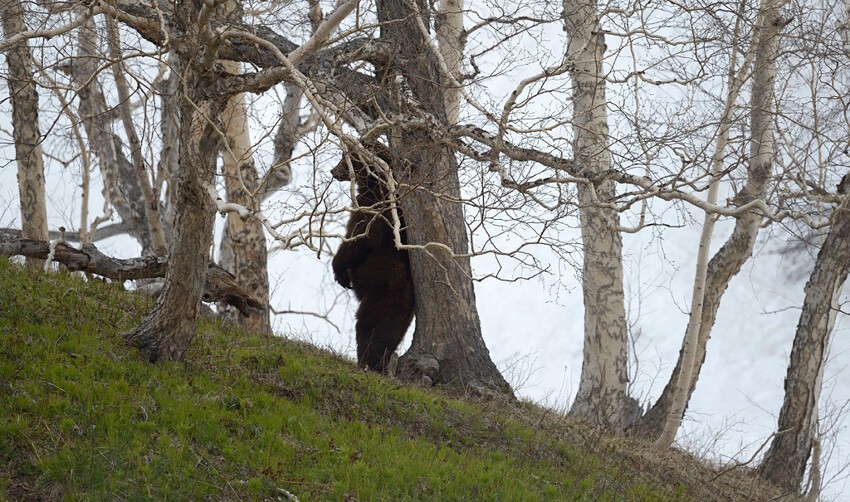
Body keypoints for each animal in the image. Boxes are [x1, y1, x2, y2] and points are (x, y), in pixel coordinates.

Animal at [328, 145, 414, 372]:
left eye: (345, 157)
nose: (333, 171)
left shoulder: (374, 207)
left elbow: (359, 238)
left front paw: (339, 270)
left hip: (383, 294)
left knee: (370, 326)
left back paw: (367, 362)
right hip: (403, 316)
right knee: (391, 336)